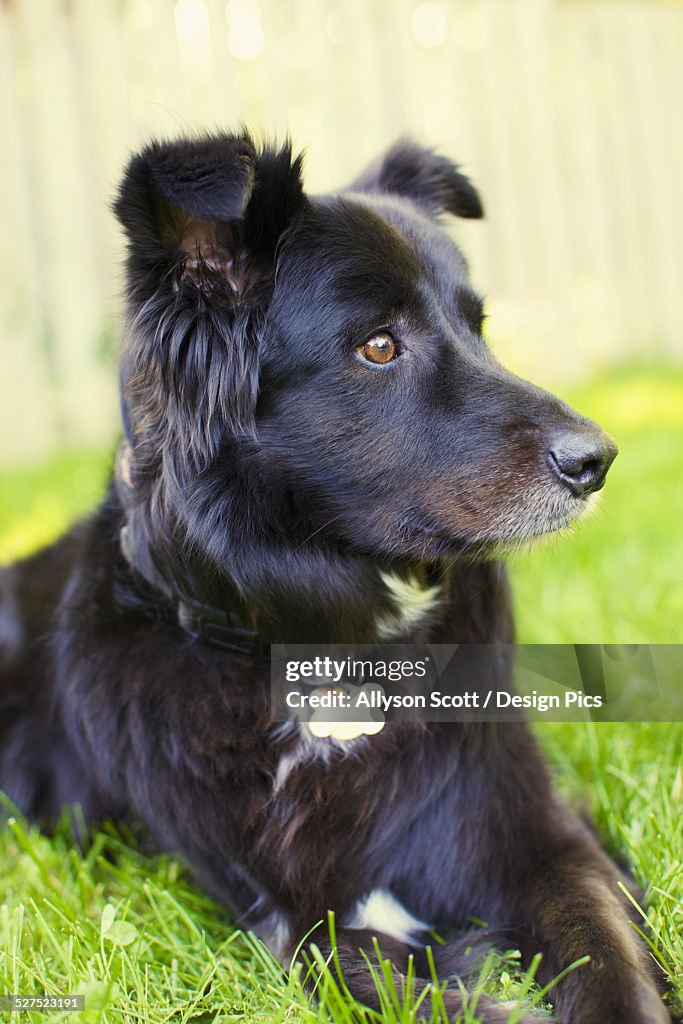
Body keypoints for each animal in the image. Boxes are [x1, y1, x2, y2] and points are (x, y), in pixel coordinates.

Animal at [0, 132, 671, 1019]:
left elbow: (602, 947)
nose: (596, 460)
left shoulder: (533, 830)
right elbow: (349, 961)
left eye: (478, 327)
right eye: (379, 346)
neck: (333, 656)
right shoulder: (277, 917)